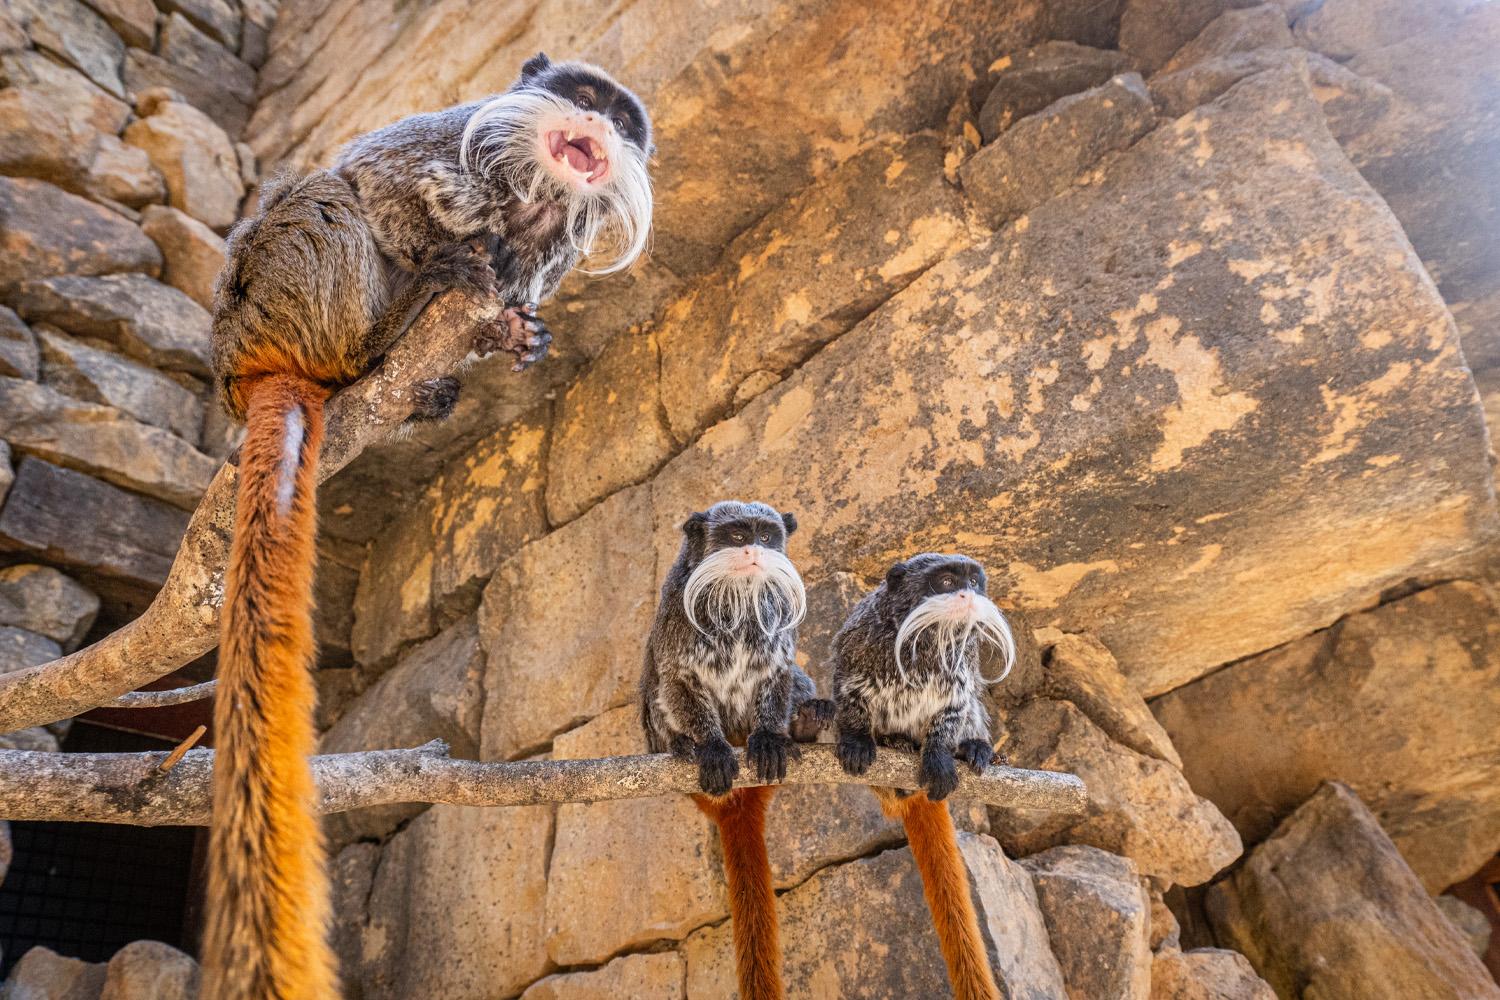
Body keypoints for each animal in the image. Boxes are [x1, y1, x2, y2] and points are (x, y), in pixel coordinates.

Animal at [205, 56, 657, 1000]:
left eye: (622, 124)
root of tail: (240, 369)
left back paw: (422, 380)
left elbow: (519, 299)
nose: (596, 131)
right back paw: (387, 324)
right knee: (320, 195)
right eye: (583, 100)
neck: (530, 199)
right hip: (266, 294)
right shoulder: (442, 140)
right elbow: (373, 184)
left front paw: (518, 336)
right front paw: (446, 256)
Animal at [834, 554, 1020, 1000]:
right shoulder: (859, 651)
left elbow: (954, 708)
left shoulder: (958, 673)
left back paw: (974, 749)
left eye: (973, 582)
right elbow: (850, 696)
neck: (930, 640)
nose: (967, 595)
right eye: (948, 582)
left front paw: (940, 756)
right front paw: (858, 740)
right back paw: (896, 743)